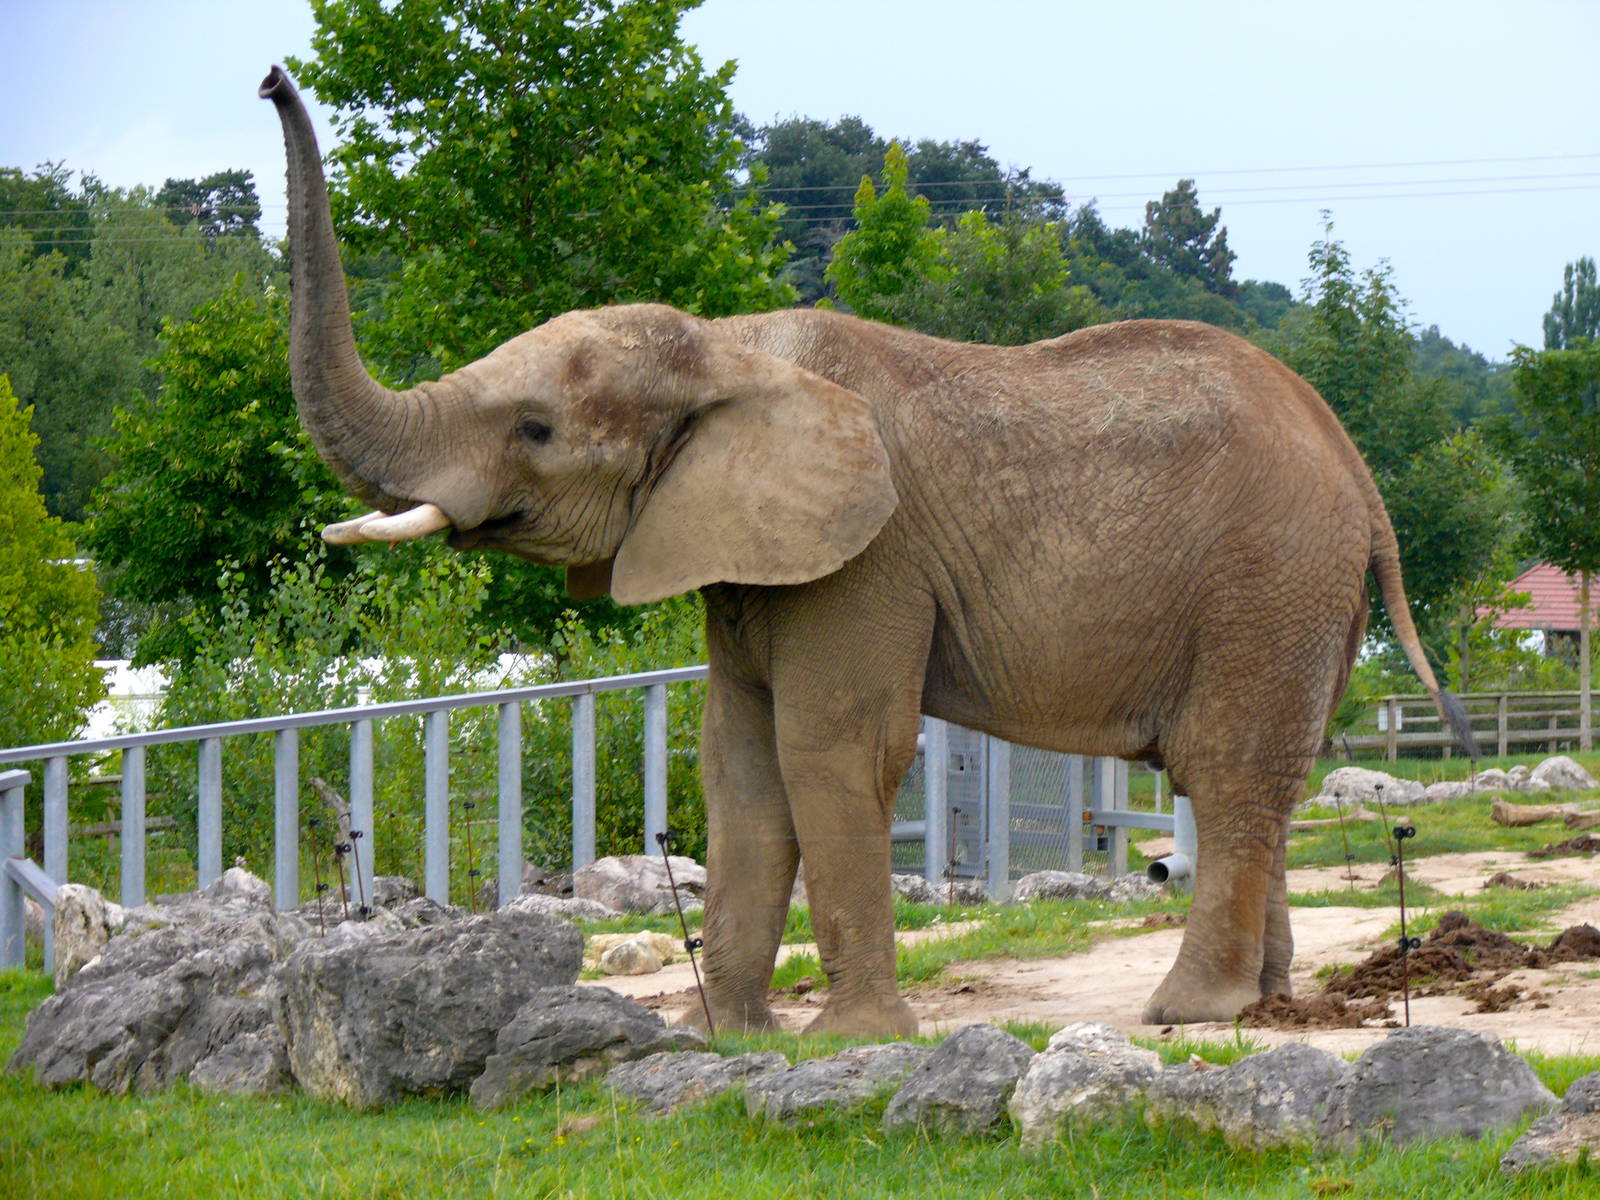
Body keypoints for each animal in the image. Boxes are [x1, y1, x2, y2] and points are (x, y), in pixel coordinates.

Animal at [263, 66, 1473, 1036]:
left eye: (535, 430)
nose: (272, 74)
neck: (732, 347)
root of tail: (1356, 465)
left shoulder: (869, 559)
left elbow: (831, 750)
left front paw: (850, 1041)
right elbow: (739, 764)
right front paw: (727, 1039)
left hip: (1266, 578)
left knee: (1224, 773)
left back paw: (1187, 1014)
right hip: (1300, 589)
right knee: (1270, 782)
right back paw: (1269, 1008)